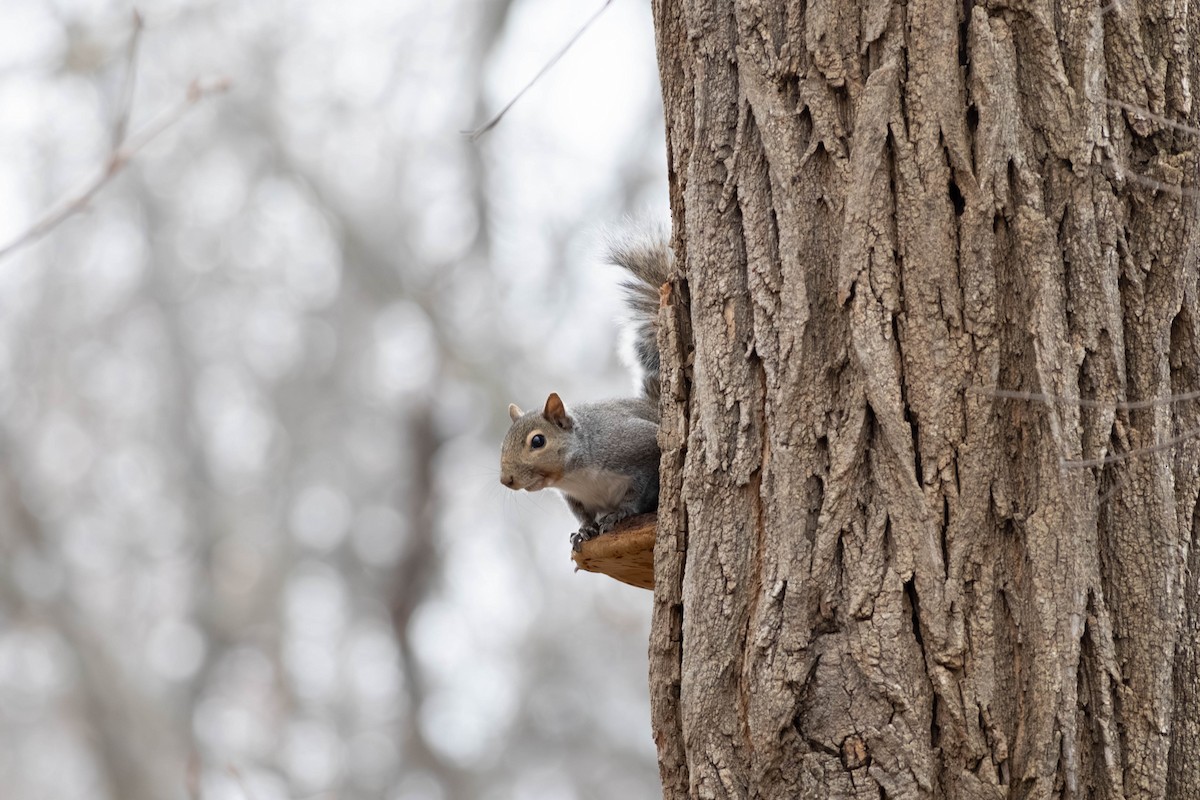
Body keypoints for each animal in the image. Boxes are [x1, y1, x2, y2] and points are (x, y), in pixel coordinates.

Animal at [499, 236, 671, 549]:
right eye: (503, 443)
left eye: (538, 441)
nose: (506, 480)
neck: (576, 476)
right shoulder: (574, 497)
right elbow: (582, 514)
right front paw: (584, 530)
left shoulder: (639, 447)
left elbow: (640, 490)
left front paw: (620, 513)